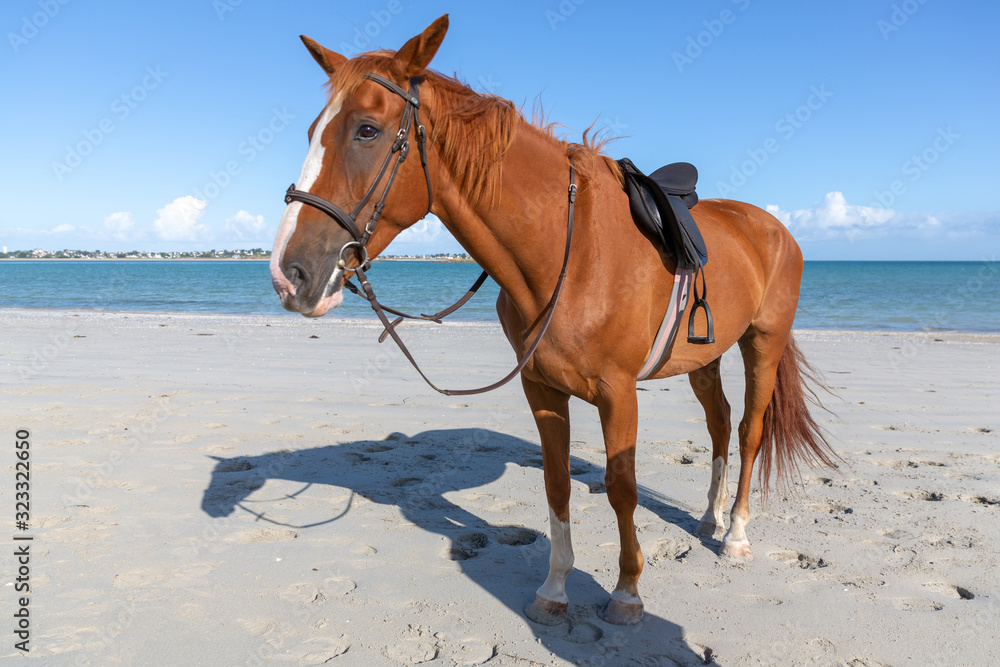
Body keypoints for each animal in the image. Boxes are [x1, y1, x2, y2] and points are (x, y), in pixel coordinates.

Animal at [266, 13, 836, 628]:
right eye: (311, 132)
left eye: (367, 130)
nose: (288, 274)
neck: (568, 250)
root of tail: (771, 226)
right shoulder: (541, 388)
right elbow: (557, 483)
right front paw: (556, 588)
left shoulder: (618, 392)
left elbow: (621, 486)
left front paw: (627, 592)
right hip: (701, 358)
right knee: (720, 424)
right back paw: (709, 516)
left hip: (763, 343)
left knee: (750, 430)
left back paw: (734, 533)